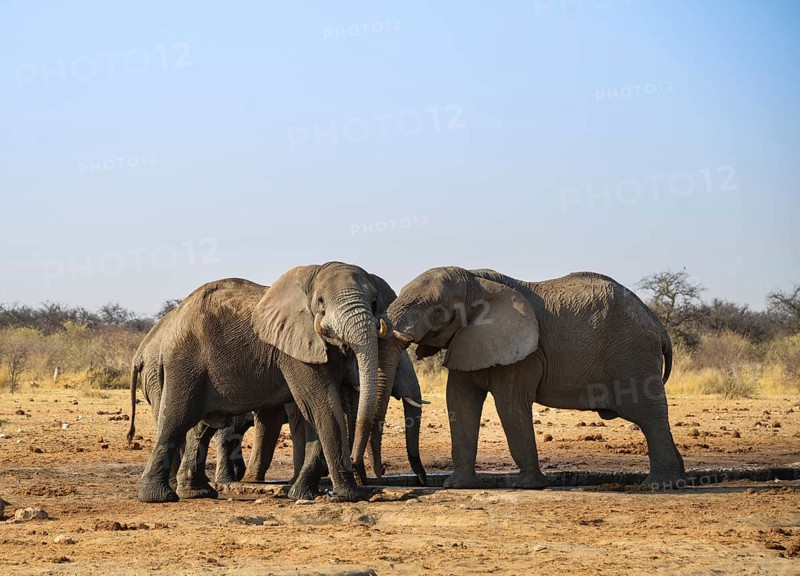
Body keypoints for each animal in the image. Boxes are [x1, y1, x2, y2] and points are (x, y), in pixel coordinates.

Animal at [131, 263, 395, 503]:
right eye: (320, 301)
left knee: (202, 426)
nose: (376, 470)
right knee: (176, 419)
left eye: (374, 302)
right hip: (184, 362)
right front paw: (348, 495)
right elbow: (320, 406)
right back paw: (159, 497)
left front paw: (303, 494)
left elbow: (322, 408)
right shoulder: (295, 349)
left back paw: (197, 492)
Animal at [378, 266, 686, 489]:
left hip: (633, 354)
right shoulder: (467, 340)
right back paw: (679, 479)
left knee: (648, 415)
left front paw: (526, 485)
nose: (421, 482)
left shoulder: (524, 353)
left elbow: (510, 404)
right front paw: (457, 486)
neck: (476, 280)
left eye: (436, 311)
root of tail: (657, 323)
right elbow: (459, 400)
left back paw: (659, 485)